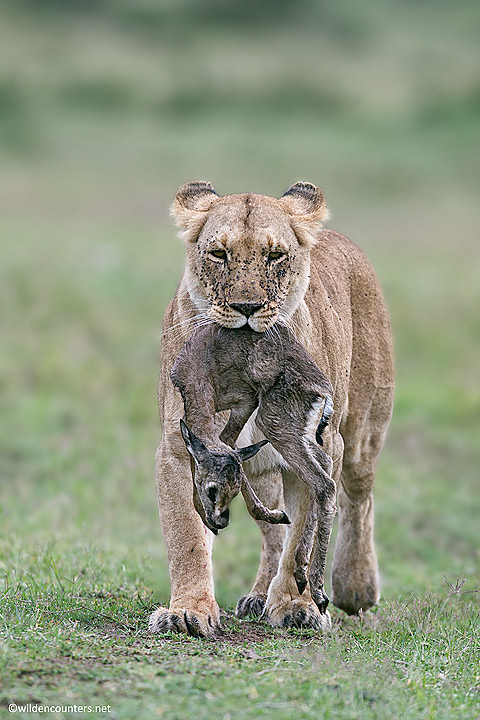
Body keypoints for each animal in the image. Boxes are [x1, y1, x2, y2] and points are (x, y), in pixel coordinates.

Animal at [149, 181, 394, 636]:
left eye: (275, 255)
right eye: (219, 254)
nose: (246, 309)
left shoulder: (320, 442)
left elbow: (306, 524)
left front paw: (298, 604)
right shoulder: (179, 446)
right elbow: (186, 533)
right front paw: (188, 611)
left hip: (360, 433)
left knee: (357, 497)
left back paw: (354, 587)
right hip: (265, 459)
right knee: (272, 527)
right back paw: (260, 593)